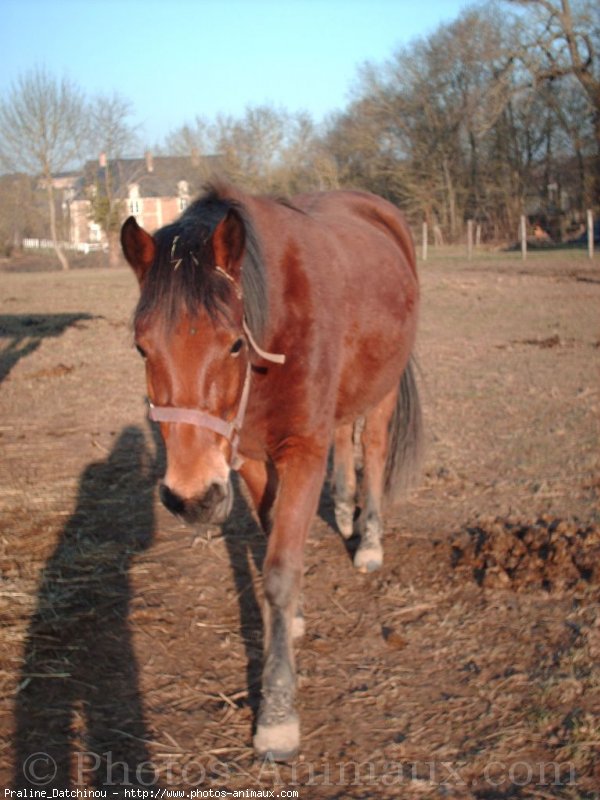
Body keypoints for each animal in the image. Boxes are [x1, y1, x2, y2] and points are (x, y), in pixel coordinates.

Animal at [120, 183, 422, 764]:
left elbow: (281, 570)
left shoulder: (302, 449)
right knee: (345, 439)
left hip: (384, 387)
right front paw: (292, 619)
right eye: (142, 348)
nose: (191, 497)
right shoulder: (251, 456)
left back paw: (369, 540)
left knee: (371, 450)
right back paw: (345, 515)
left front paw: (278, 714)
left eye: (234, 343)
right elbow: (271, 536)